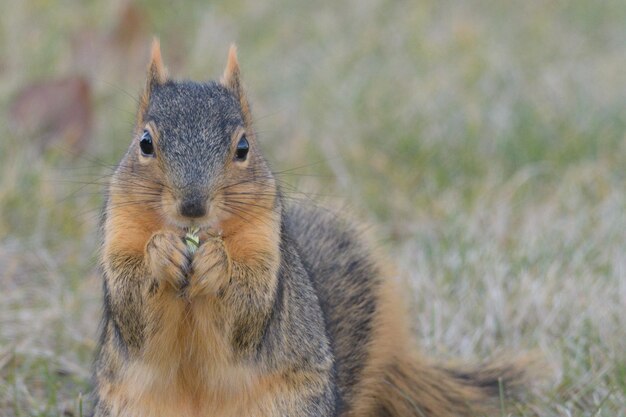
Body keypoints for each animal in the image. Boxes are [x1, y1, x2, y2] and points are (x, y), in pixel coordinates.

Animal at [91, 39, 532, 416]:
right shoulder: (120, 235)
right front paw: (161, 252)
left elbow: (248, 309)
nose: (193, 205)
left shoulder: (267, 252)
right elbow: (132, 307)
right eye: (145, 143)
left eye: (243, 148)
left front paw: (218, 263)